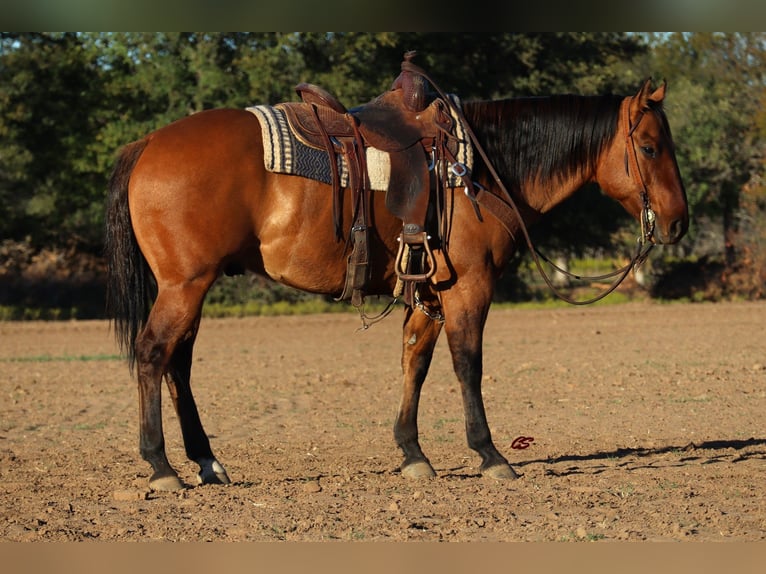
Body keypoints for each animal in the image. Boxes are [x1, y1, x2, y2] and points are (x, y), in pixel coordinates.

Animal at [106, 75, 688, 490]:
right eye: (651, 147)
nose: (678, 222)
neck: (481, 169)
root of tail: (148, 142)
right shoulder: (469, 287)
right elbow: (467, 364)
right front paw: (489, 454)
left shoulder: (429, 291)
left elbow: (417, 360)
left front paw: (412, 453)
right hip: (184, 285)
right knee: (154, 354)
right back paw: (161, 466)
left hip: (191, 287)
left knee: (178, 365)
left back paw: (206, 461)